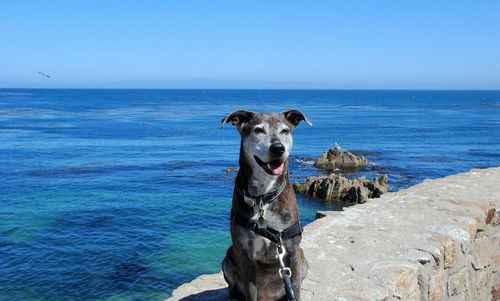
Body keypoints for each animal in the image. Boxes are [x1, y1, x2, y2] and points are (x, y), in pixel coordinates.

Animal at [221, 109, 310, 300]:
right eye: (258, 130)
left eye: (285, 130)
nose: (278, 148)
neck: (263, 196)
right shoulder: (245, 253)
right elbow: (250, 289)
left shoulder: (292, 249)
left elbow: (295, 286)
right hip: (228, 257)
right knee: (233, 286)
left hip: (303, 258)